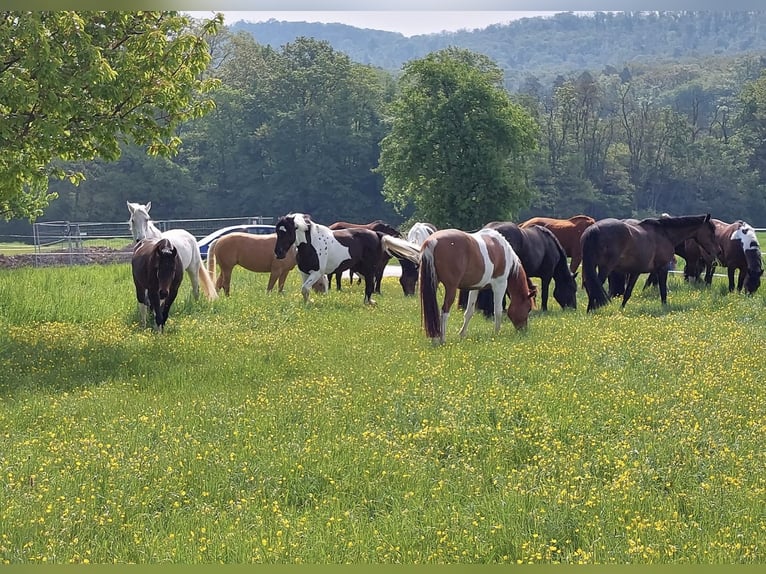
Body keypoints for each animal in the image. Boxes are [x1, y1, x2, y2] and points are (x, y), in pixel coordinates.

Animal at [584, 216, 724, 316]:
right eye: (711, 232)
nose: (719, 251)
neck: (665, 234)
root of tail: (594, 228)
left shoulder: (636, 271)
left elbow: (628, 293)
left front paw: (621, 309)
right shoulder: (662, 268)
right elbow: (663, 291)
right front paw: (664, 308)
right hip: (605, 268)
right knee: (595, 285)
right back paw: (591, 310)